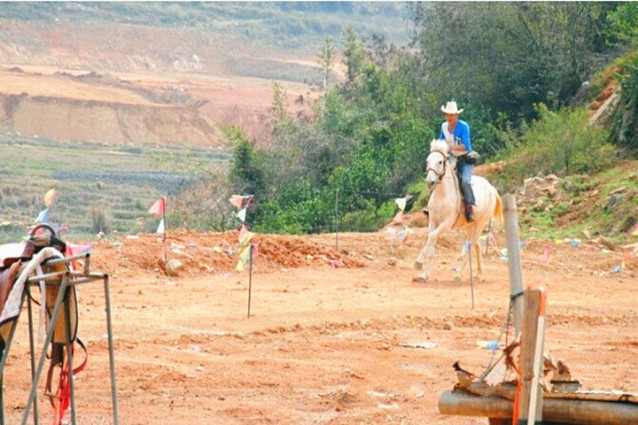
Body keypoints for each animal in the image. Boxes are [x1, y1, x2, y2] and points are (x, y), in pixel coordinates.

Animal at [416, 139, 504, 284]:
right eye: (427, 161)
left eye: (440, 161)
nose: (430, 181)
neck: (442, 195)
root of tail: (491, 188)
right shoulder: (432, 221)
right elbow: (431, 241)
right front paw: (423, 274)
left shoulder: (446, 224)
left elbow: (432, 236)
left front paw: (419, 262)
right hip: (470, 226)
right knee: (476, 245)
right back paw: (478, 274)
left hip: (481, 223)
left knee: (471, 245)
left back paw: (458, 275)